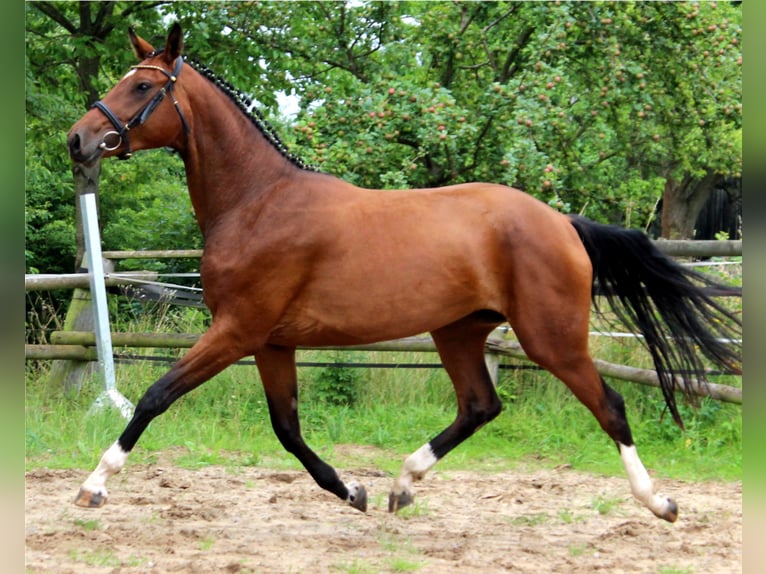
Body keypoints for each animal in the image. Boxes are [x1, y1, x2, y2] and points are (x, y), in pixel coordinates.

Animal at [67, 24, 744, 524]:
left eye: (143, 86)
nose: (78, 139)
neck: (257, 202)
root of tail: (562, 222)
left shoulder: (236, 330)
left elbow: (156, 396)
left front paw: (95, 484)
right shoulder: (271, 341)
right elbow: (287, 428)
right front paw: (353, 491)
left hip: (550, 337)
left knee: (610, 406)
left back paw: (659, 502)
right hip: (459, 331)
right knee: (480, 406)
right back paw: (403, 484)